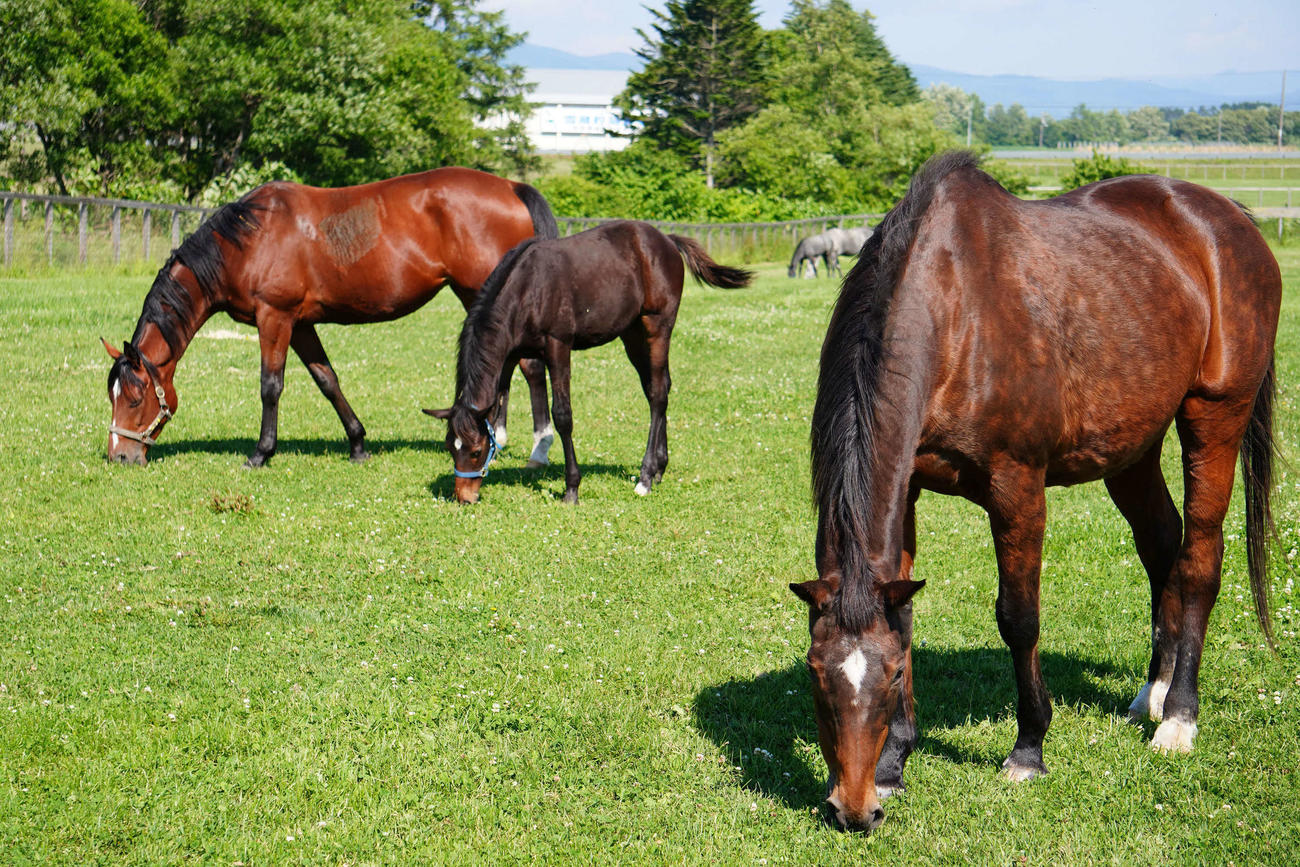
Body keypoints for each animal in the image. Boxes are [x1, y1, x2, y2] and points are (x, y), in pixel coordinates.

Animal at [103, 167, 559, 468]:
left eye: (134, 398)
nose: (119, 455)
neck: (248, 241)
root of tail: (511, 187)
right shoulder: (301, 325)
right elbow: (327, 380)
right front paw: (357, 444)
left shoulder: (275, 318)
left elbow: (271, 387)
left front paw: (261, 453)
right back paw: (494, 434)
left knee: (529, 366)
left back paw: (538, 448)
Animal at [424, 220, 752, 505]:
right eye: (450, 447)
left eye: (476, 451)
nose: (464, 497)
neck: (527, 289)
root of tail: (667, 241)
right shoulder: (510, 355)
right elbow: (497, 406)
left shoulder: (558, 346)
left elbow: (562, 415)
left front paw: (572, 488)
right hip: (632, 334)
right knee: (657, 389)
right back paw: (660, 467)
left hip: (658, 326)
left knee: (659, 393)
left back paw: (645, 478)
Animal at [792, 151, 1280, 833]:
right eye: (817, 677)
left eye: (887, 679)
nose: (853, 810)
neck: (956, 309)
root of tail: (1228, 217)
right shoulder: (906, 489)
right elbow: (906, 614)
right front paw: (894, 764)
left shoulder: (1017, 488)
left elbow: (1019, 619)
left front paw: (1028, 749)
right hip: (1131, 448)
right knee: (1163, 549)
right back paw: (1152, 693)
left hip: (1215, 418)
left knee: (1200, 560)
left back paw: (1180, 717)